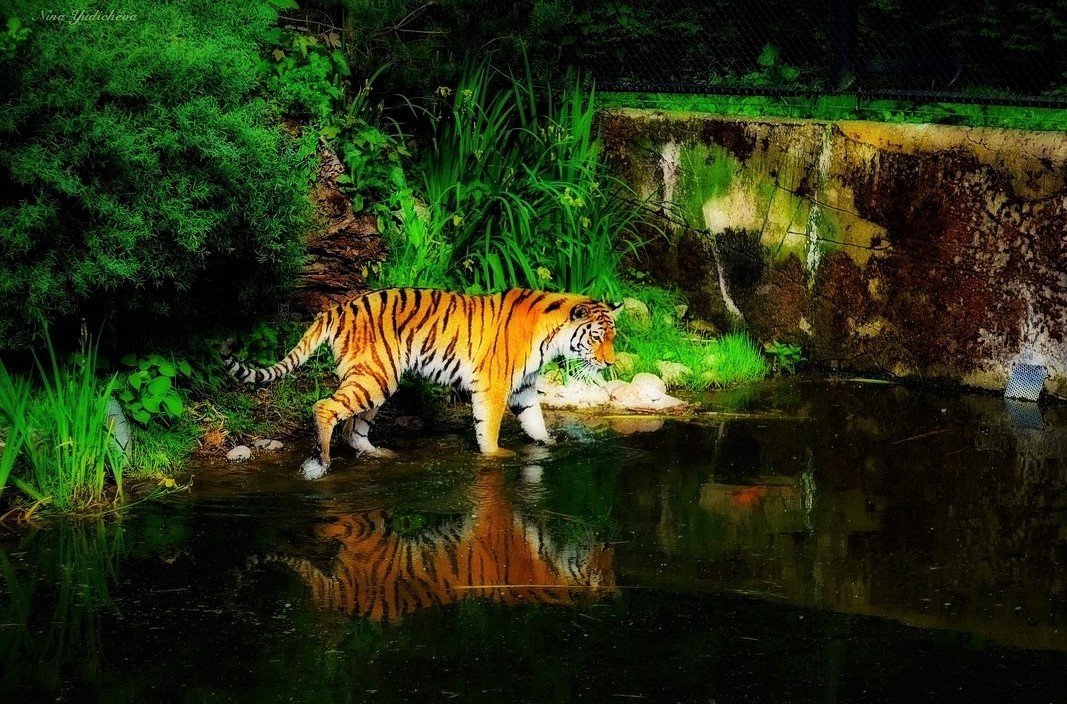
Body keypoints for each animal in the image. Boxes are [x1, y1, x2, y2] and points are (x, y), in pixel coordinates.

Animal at [222, 288, 620, 480]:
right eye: (597, 337)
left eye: (613, 337)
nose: (610, 362)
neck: (549, 339)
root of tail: (338, 308)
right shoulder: (493, 386)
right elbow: (489, 428)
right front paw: (496, 457)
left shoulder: (523, 388)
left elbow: (536, 423)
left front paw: (549, 446)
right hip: (375, 375)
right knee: (325, 408)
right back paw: (322, 462)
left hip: (377, 380)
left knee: (354, 429)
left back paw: (380, 455)